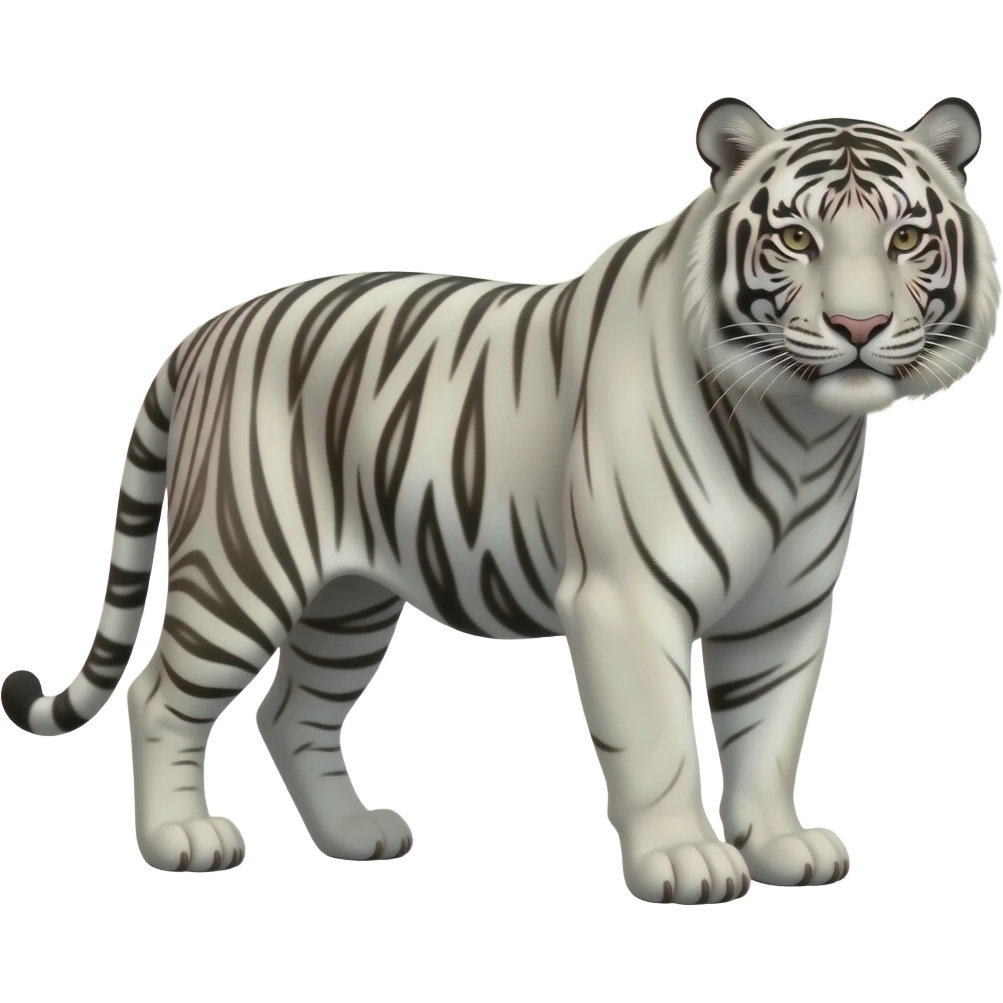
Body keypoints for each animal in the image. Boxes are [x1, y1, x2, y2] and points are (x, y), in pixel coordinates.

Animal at [2, 97, 998, 904]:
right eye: (795, 240)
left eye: (905, 240)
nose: (859, 327)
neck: (798, 426)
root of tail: (205, 330)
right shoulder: (627, 597)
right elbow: (659, 736)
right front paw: (684, 862)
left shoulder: (783, 607)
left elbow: (769, 731)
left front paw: (783, 846)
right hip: (241, 568)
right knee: (160, 695)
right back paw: (182, 839)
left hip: (348, 598)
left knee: (290, 711)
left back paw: (356, 834)